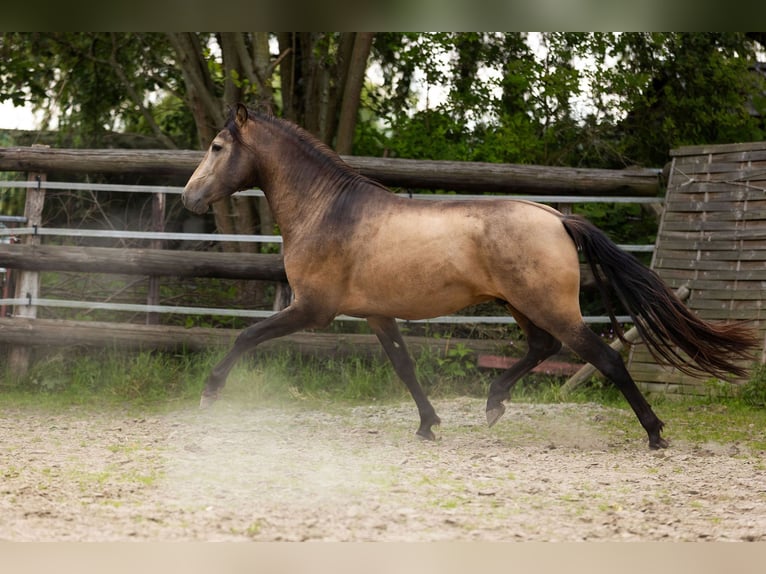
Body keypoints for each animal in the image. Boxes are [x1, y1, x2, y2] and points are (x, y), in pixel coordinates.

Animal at [182, 106, 760, 452]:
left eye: (216, 147)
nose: (189, 198)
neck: (329, 210)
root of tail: (556, 216)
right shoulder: (376, 314)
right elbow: (405, 367)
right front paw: (428, 425)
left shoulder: (312, 308)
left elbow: (247, 334)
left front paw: (210, 393)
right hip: (520, 305)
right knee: (543, 348)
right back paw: (494, 402)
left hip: (549, 306)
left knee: (605, 358)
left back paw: (655, 434)